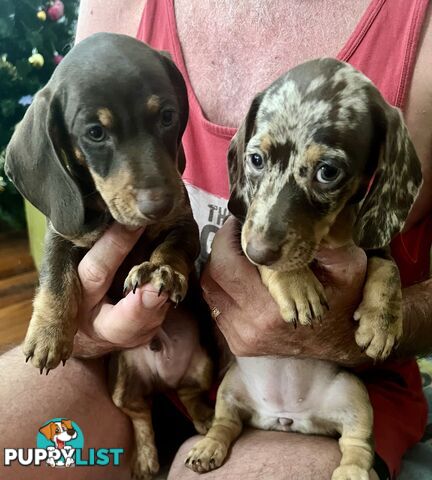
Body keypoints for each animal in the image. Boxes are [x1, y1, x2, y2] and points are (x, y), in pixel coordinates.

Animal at [5, 31, 215, 478]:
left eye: (167, 116)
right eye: (95, 133)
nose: (159, 205)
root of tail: (162, 379)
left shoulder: (183, 226)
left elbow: (173, 246)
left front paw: (161, 270)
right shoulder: (61, 232)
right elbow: (56, 276)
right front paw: (48, 334)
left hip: (203, 365)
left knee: (189, 394)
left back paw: (205, 419)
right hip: (120, 379)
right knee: (138, 411)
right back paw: (148, 456)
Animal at [186, 58, 422, 478]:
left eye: (327, 171)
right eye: (256, 159)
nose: (259, 251)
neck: (327, 236)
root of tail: (285, 417)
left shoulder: (372, 245)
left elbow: (387, 270)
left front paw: (381, 323)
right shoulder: (240, 230)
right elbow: (269, 257)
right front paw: (296, 284)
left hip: (355, 394)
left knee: (356, 443)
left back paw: (353, 471)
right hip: (230, 386)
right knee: (226, 423)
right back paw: (209, 446)